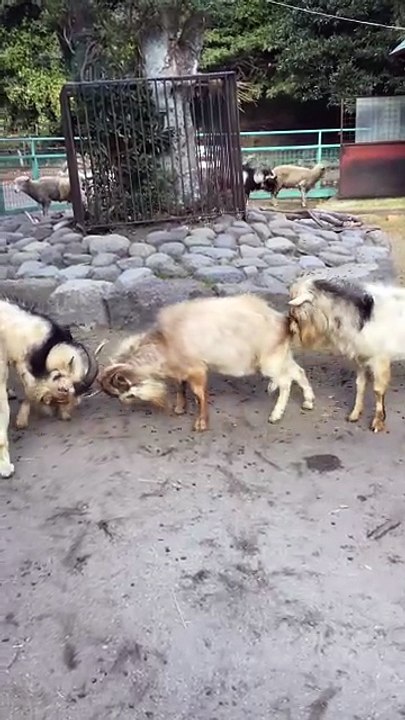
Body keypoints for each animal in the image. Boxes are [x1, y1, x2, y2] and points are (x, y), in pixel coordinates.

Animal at [97, 294, 315, 432]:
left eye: (124, 391)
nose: (125, 403)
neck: (165, 342)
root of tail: (284, 321)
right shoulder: (181, 369)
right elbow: (180, 386)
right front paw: (180, 408)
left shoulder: (197, 369)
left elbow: (199, 394)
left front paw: (201, 424)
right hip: (281, 356)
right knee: (298, 371)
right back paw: (308, 401)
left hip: (269, 361)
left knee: (285, 382)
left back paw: (275, 414)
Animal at [288, 275, 405, 433]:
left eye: (297, 308)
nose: (292, 329)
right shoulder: (360, 358)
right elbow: (360, 385)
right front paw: (354, 414)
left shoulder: (380, 358)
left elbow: (377, 390)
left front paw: (377, 422)